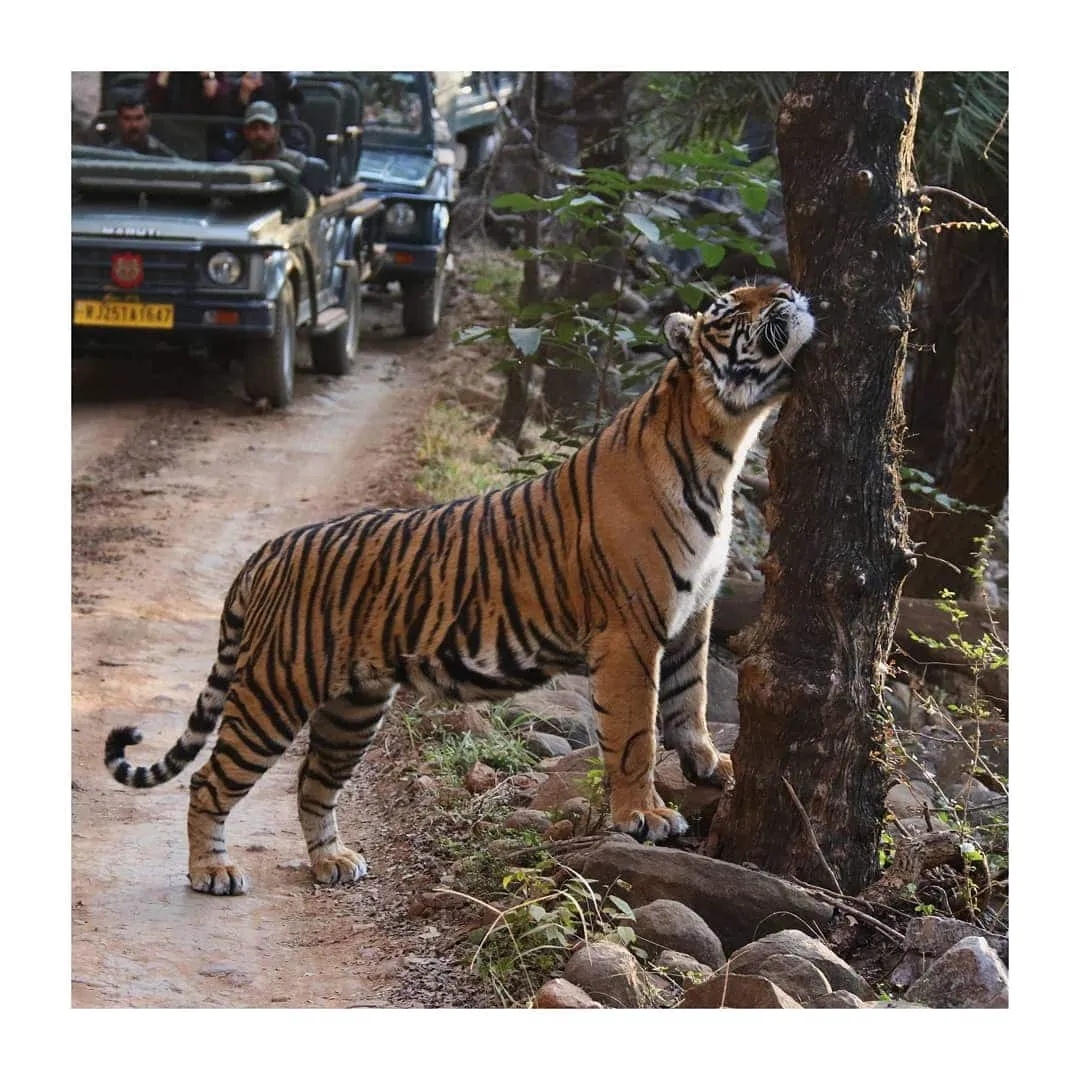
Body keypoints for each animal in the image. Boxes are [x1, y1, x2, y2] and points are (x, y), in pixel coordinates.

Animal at [105, 280, 815, 896]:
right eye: (732, 307)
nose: (790, 290)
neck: (723, 447)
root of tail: (268, 549)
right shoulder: (630, 633)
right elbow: (638, 732)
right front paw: (646, 814)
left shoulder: (695, 613)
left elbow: (691, 701)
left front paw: (712, 766)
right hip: (274, 691)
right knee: (209, 780)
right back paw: (212, 872)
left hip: (353, 706)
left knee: (312, 780)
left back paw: (333, 860)